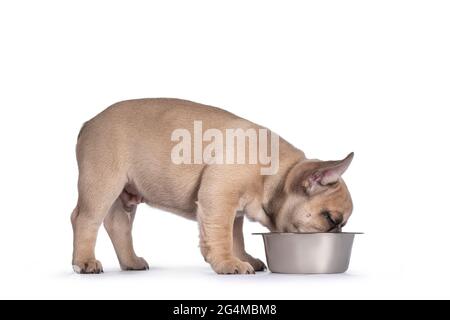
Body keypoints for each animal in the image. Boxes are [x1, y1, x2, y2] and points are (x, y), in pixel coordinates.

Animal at [72, 99, 354, 274]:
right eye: (331, 219)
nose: (338, 232)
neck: (277, 174)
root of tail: (89, 123)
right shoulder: (218, 199)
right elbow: (220, 235)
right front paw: (228, 263)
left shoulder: (235, 211)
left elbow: (235, 236)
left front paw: (242, 257)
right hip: (102, 183)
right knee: (85, 219)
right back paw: (84, 261)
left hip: (124, 193)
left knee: (118, 224)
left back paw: (130, 262)